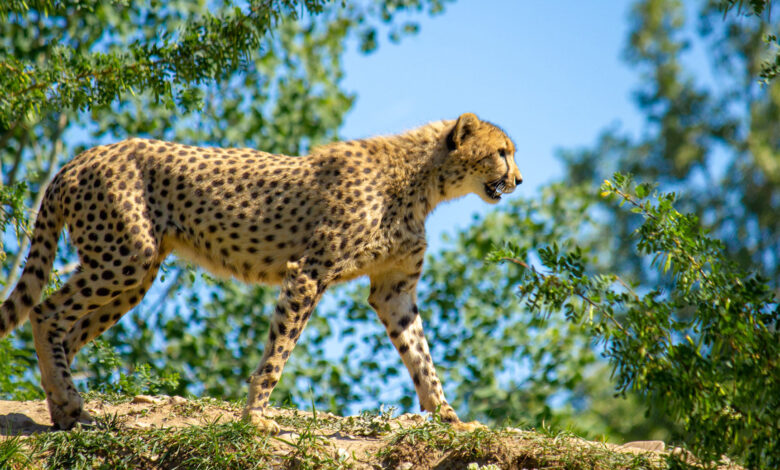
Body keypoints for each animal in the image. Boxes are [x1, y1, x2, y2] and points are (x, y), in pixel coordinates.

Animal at [0, 112, 522, 432]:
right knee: (45, 314)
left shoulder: (394, 291)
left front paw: (452, 419)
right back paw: (68, 403)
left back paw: (66, 411)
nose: (518, 180)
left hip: (135, 273)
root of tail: (80, 157)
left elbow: (422, 359)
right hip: (123, 258)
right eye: (502, 152)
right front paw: (256, 416)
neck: (423, 180)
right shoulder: (309, 271)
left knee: (65, 329)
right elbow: (280, 350)